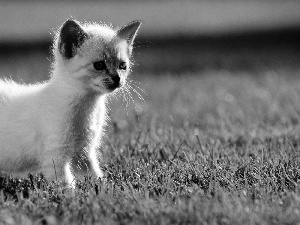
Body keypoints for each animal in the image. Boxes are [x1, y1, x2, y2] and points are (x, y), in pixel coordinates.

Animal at [0, 18, 142, 186]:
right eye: (99, 65)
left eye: (122, 66)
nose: (117, 78)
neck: (88, 105)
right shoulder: (56, 156)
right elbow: (66, 184)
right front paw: (72, 193)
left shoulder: (84, 151)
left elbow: (95, 175)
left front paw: (106, 188)